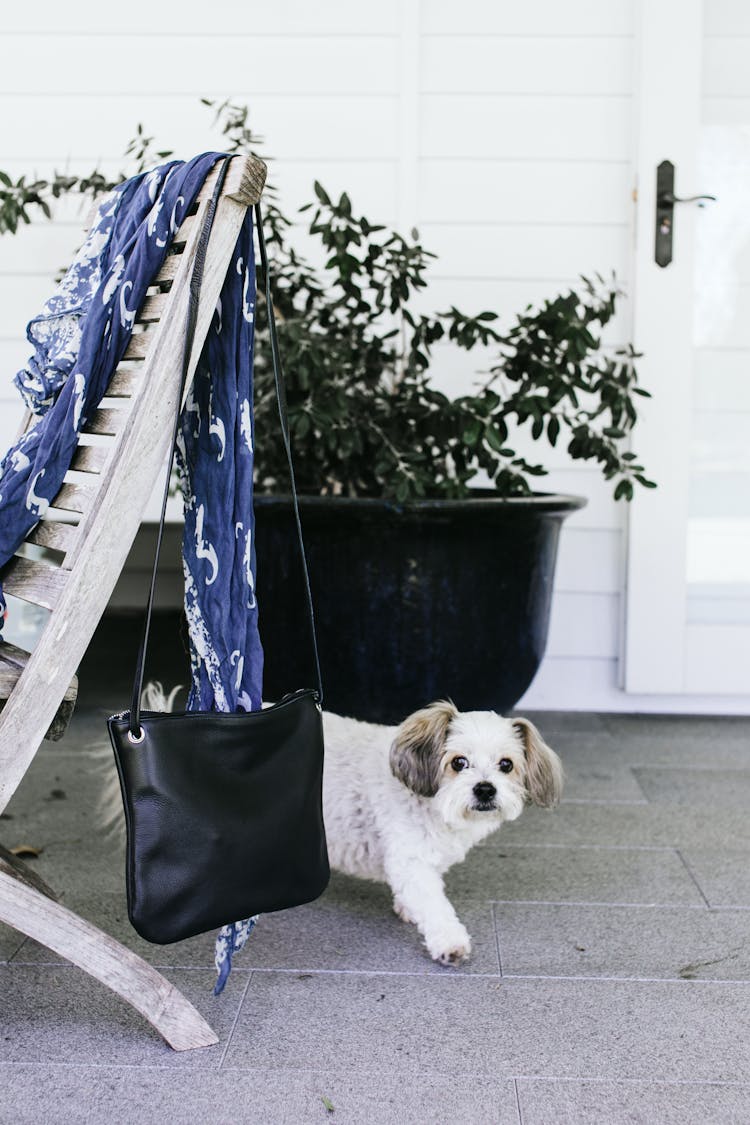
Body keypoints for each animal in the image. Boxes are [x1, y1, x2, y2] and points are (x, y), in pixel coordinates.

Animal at [323, 697, 562, 963]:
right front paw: (450, 942)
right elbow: (434, 905)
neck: (435, 806)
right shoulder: (411, 860)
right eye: (459, 762)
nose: (485, 789)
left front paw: (407, 909)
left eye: (506, 765)